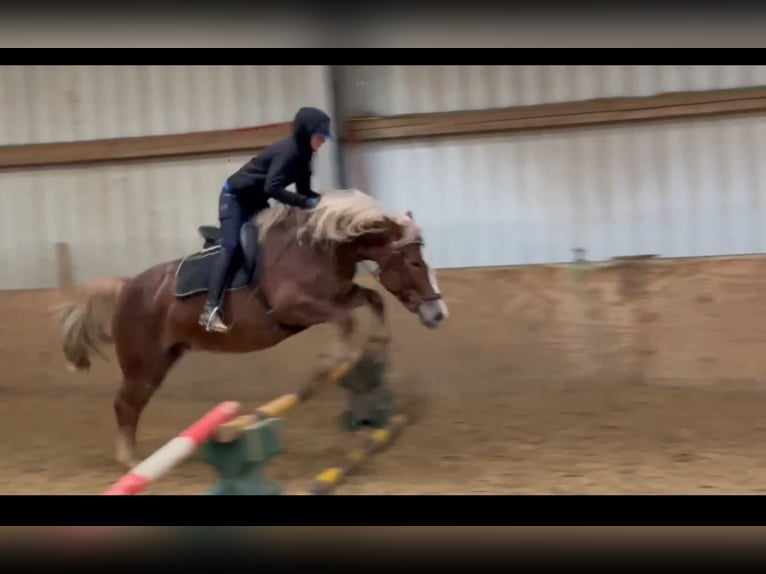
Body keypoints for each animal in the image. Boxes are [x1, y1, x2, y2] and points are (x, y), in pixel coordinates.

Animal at [55, 191, 450, 470]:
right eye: (415, 262)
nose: (437, 313)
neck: (320, 248)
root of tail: (126, 287)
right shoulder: (295, 307)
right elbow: (345, 321)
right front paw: (333, 363)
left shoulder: (339, 295)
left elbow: (371, 300)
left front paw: (377, 340)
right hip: (143, 364)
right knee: (126, 404)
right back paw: (131, 461)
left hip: (163, 360)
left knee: (132, 404)